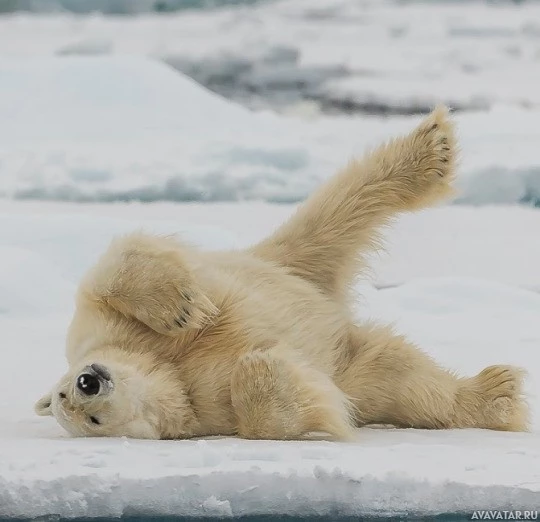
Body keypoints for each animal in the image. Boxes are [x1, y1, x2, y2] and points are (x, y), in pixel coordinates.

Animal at [33, 107, 528, 440]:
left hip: (285, 262)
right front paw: (262, 364)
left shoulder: (98, 330)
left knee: (340, 203)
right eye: (92, 419)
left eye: (69, 390)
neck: (162, 370)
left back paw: (430, 147)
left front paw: (184, 310)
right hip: (347, 355)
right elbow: (275, 418)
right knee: (401, 377)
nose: (89, 381)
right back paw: (497, 396)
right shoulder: (205, 410)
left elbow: (109, 269)